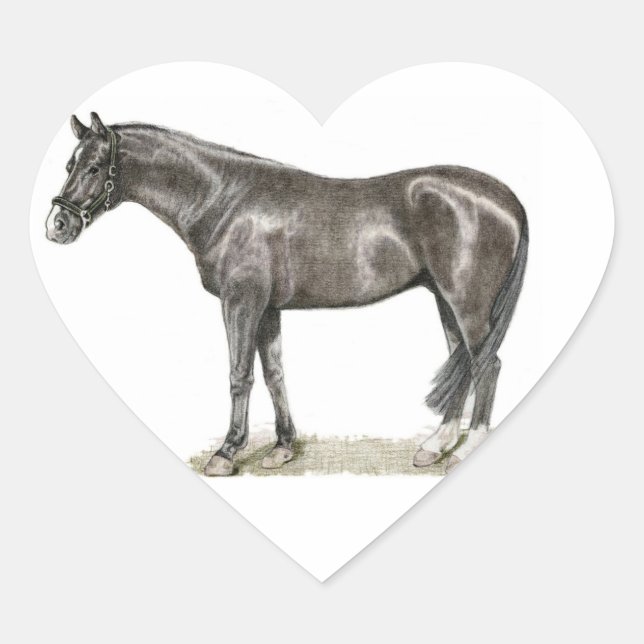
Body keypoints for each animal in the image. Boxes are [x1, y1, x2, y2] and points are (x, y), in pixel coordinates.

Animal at [45, 112, 528, 476]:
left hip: (468, 303)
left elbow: (240, 375)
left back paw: (468, 447)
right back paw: (435, 445)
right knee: (460, 361)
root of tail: (507, 198)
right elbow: (275, 373)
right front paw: (282, 448)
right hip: (445, 300)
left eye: (94, 167)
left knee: (486, 364)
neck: (226, 199)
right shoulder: (268, 308)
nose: (57, 226)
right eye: (70, 165)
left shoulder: (241, 303)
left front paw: (226, 453)